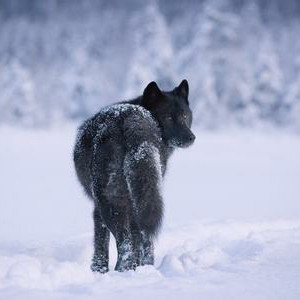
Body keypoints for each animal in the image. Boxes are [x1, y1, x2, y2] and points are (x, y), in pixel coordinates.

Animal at [73, 79, 195, 272]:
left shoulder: (97, 210)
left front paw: (98, 271)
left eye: (184, 115)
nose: (191, 137)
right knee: (144, 239)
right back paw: (143, 269)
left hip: (110, 203)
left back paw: (123, 272)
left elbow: (101, 243)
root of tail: (132, 119)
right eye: (169, 117)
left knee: (126, 244)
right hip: (144, 198)